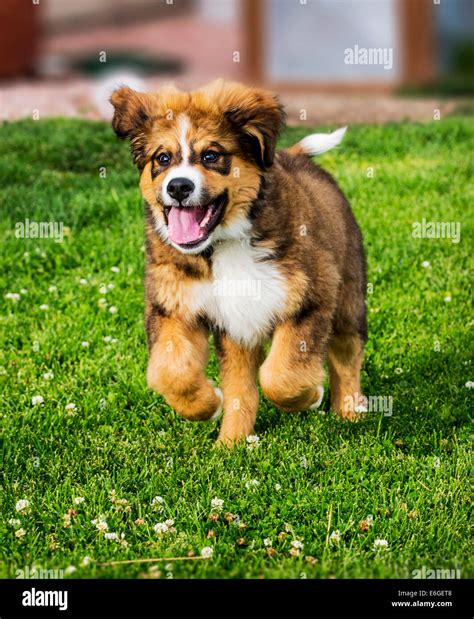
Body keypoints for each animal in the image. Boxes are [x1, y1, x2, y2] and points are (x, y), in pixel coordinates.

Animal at [110, 80, 366, 446]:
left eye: (211, 155)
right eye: (162, 158)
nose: (178, 187)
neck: (223, 245)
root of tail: (294, 156)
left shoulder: (313, 293)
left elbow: (281, 374)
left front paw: (310, 396)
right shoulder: (173, 305)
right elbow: (170, 371)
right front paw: (205, 405)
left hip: (348, 295)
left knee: (347, 353)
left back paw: (349, 412)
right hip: (237, 331)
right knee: (241, 386)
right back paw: (231, 445)